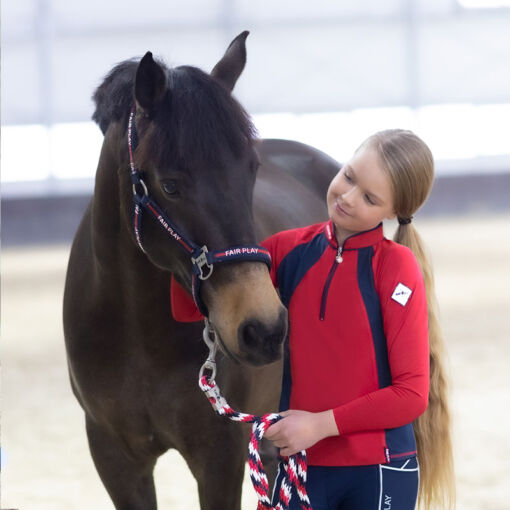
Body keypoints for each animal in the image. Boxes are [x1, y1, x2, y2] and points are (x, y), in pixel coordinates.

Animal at [63, 32, 340, 510]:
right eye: (170, 184)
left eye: (251, 170)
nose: (264, 329)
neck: (138, 333)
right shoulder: (115, 456)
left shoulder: (220, 455)